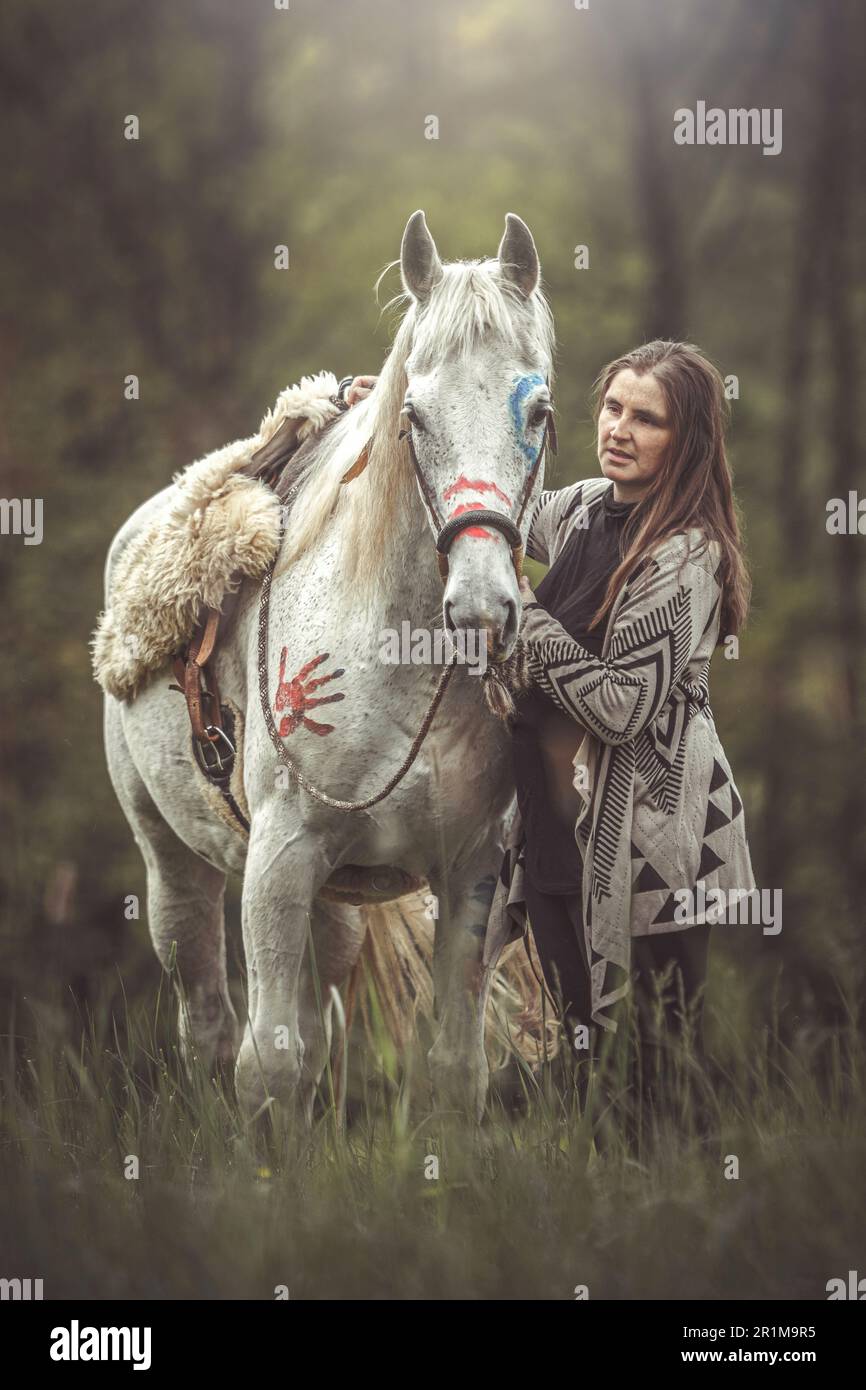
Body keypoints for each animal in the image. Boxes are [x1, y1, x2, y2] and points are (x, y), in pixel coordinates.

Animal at [102, 210, 556, 1119]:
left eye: (537, 412)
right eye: (415, 416)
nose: (480, 606)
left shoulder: (471, 871)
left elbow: (452, 1066)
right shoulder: (279, 866)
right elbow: (269, 1065)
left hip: (337, 907)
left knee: (322, 1031)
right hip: (175, 869)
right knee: (210, 1025)